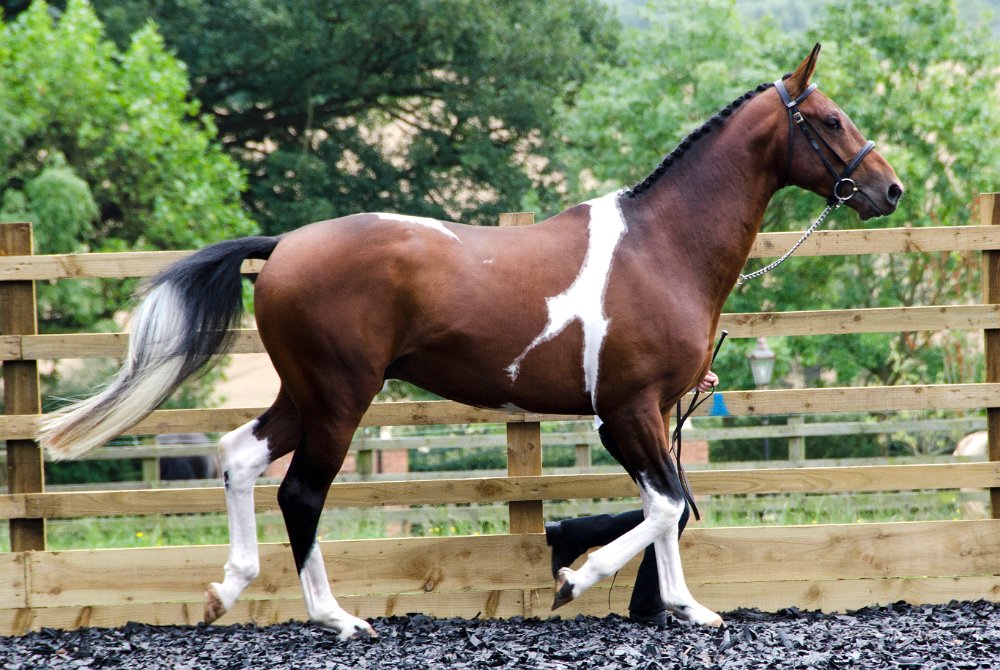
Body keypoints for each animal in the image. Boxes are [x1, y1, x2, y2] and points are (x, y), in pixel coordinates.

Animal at [39, 44, 902, 638]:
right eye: (830, 120)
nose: (888, 188)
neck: (661, 249)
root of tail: (284, 245)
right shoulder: (626, 411)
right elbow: (663, 505)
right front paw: (574, 581)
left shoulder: (649, 413)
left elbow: (671, 505)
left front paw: (686, 606)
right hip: (341, 397)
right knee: (300, 493)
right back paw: (338, 619)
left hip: (306, 393)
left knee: (241, 457)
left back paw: (227, 588)